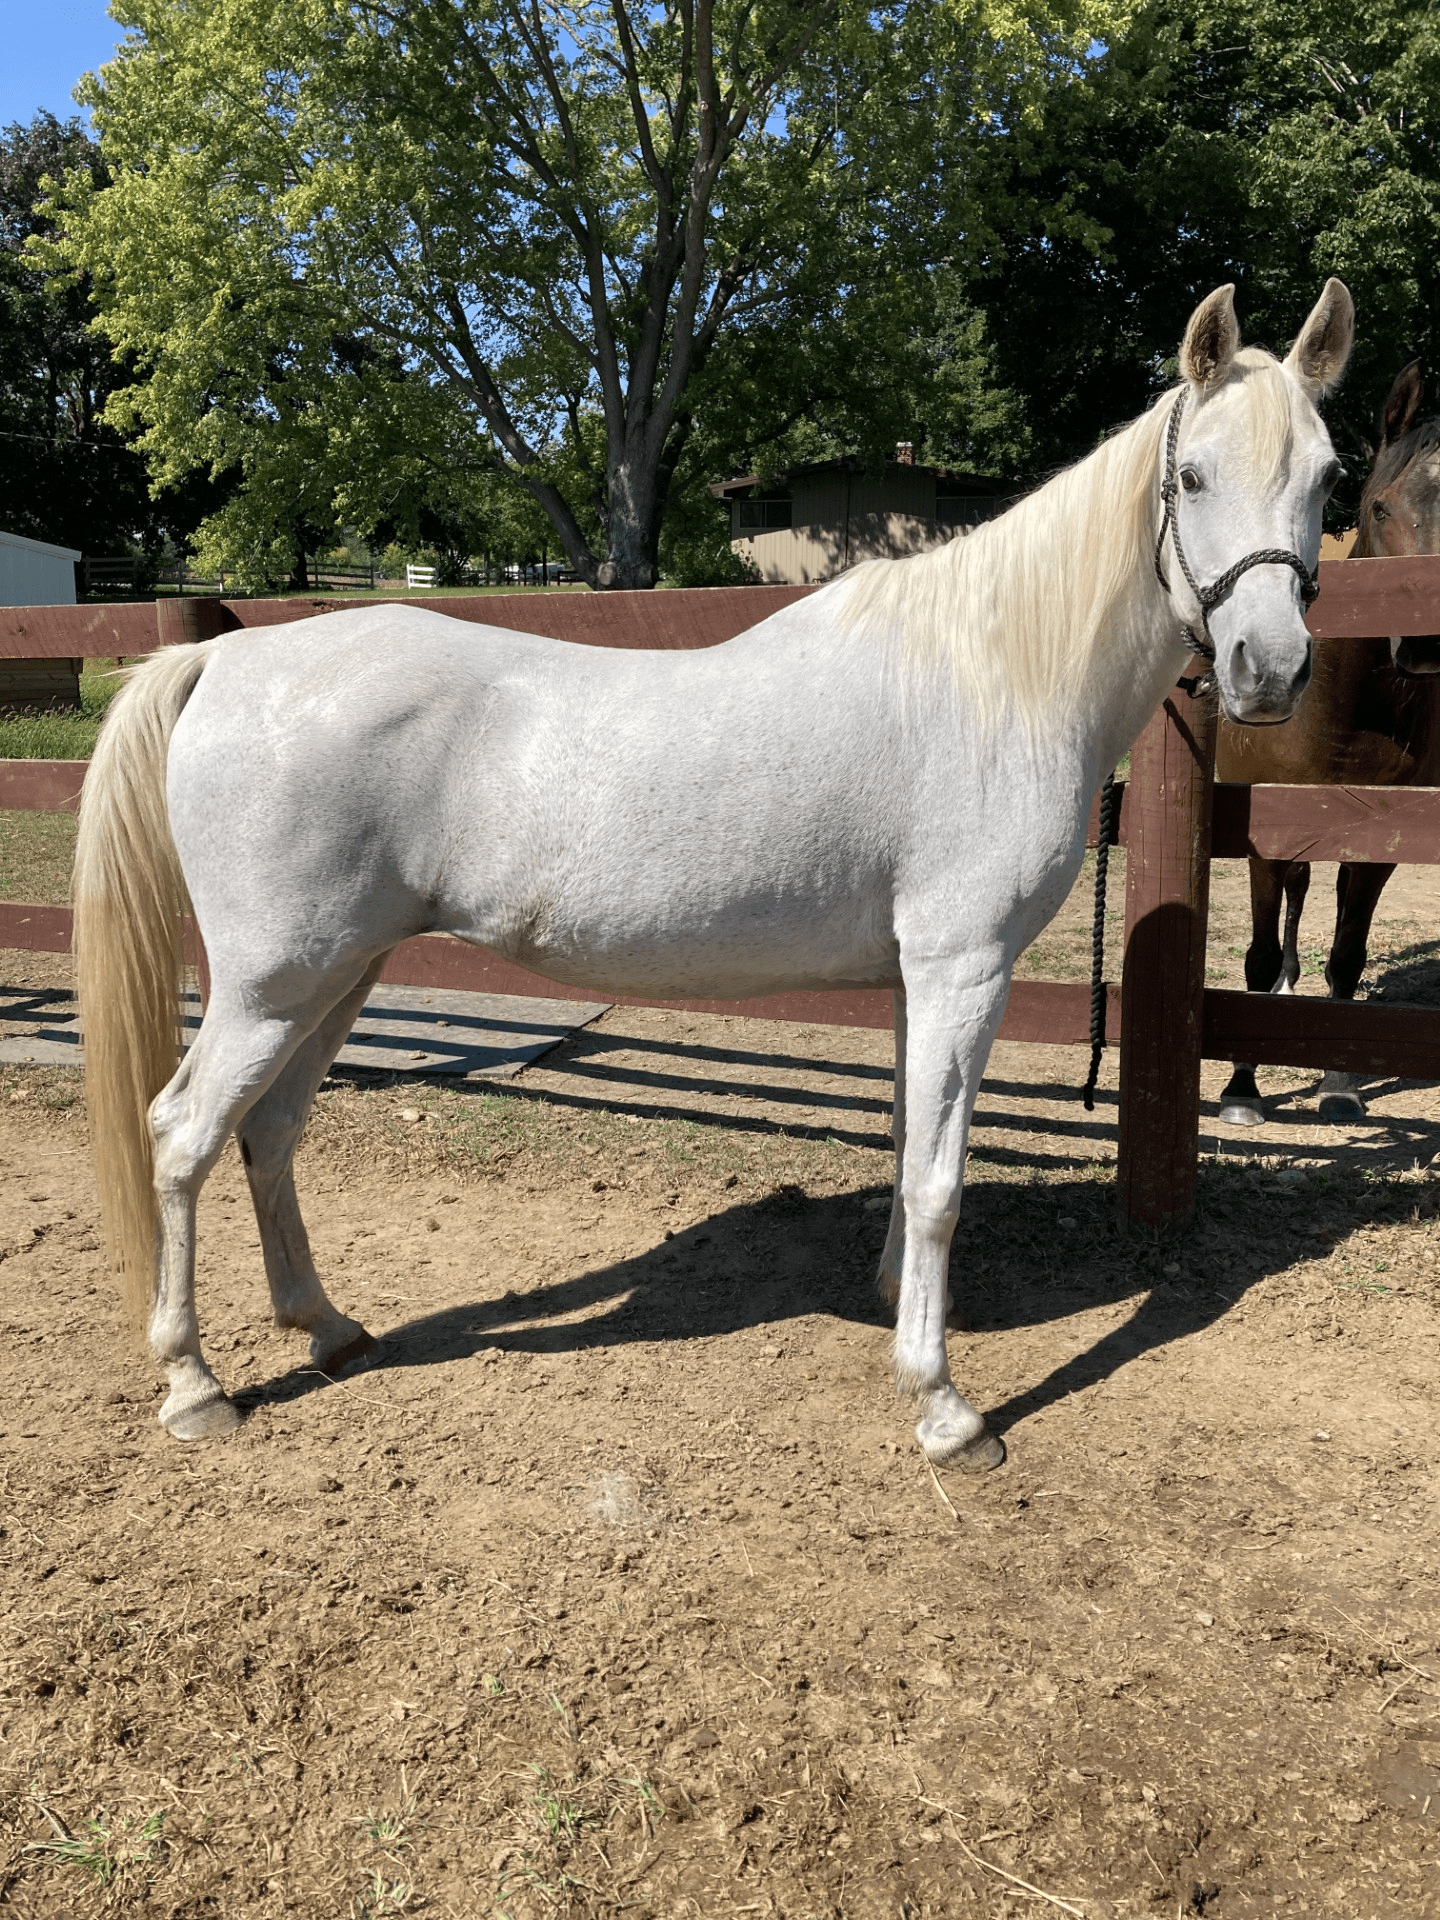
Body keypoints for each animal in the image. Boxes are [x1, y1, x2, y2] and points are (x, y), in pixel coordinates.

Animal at [73, 279, 1352, 1461]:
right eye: (1193, 477)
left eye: (1329, 479)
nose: (1270, 671)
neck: (987, 679)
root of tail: (228, 660)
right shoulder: (964, 970)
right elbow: (940, 1186)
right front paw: (944, 1406)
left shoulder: (917, 981)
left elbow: (908, 1153)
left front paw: (895, 1311)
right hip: (272, 986)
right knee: (182, 1136)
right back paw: (195, 1386)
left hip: (339, 975)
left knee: (273, 1131)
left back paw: (330, 1328)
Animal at [1216, 359, 1440, 1126]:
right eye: (1380, 509)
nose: (1426, 642)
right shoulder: (1260, 834)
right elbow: (1255, 956)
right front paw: (1241, 1088)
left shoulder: (1378, 843)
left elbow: (1347, 956)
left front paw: (1340, 1082)